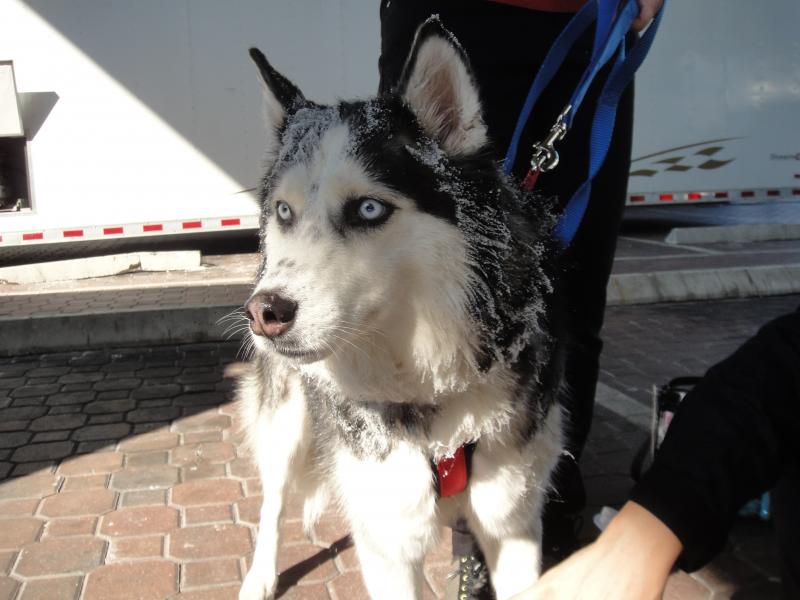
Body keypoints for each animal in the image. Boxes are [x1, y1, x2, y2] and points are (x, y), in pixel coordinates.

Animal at [237, 17, 566, 600]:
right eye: (284, 212)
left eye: (368, 209)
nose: (263, 313)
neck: (430, 382)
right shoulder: (388, 533)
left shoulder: (513, 521)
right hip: (285, 423)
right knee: (274, 500)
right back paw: (259, 577)